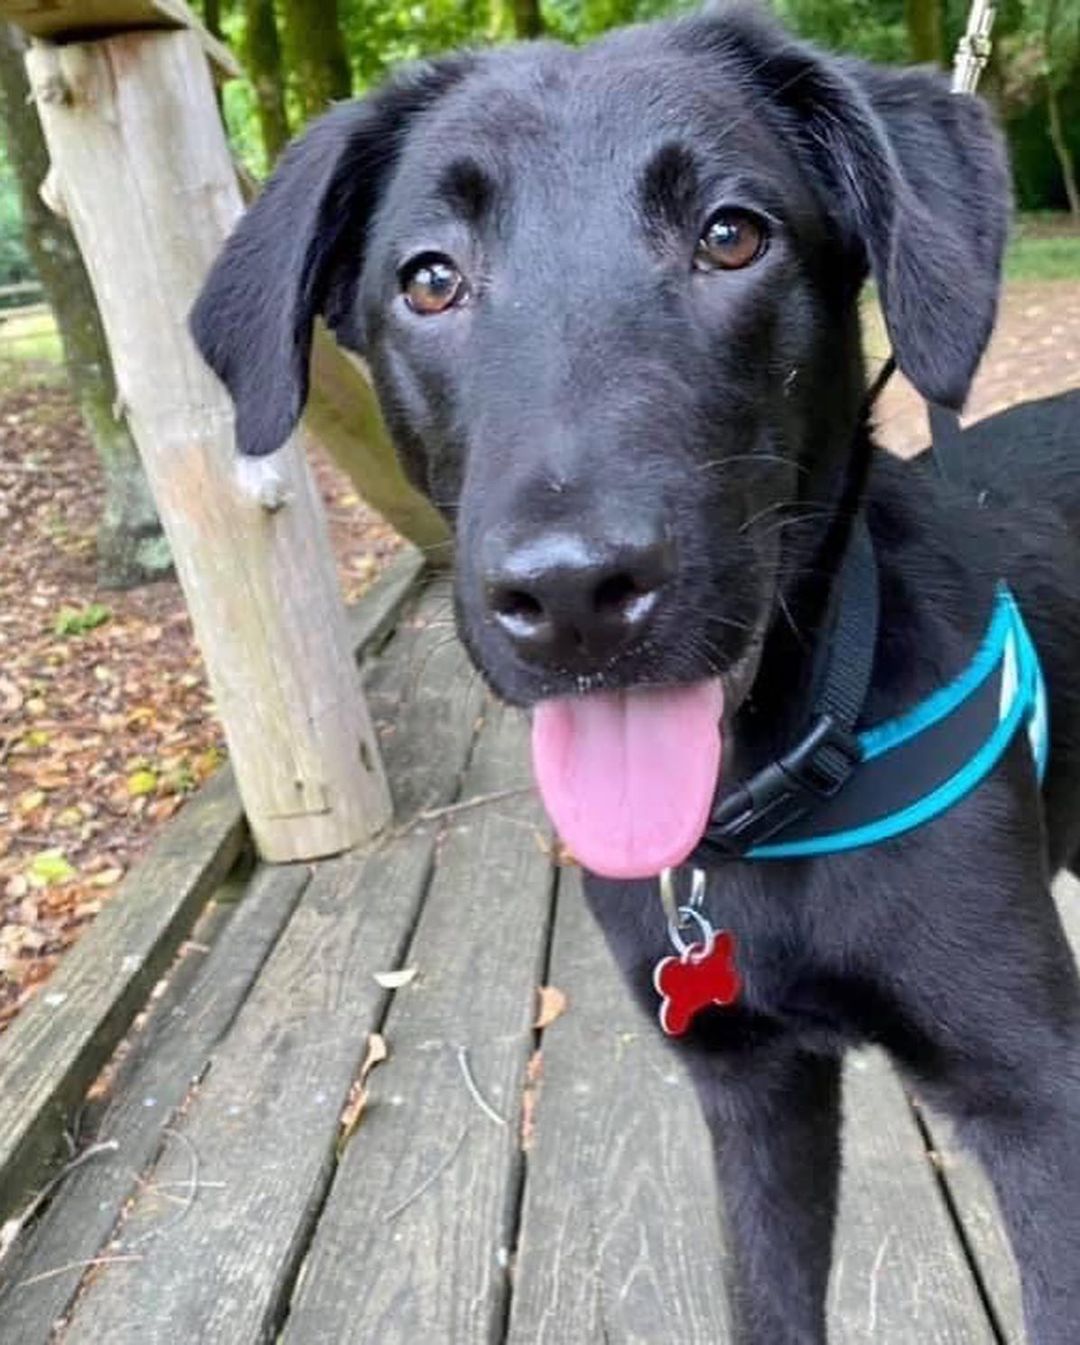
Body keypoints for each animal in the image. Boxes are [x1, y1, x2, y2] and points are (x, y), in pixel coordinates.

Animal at [189, 7, 1080, 1334]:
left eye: (732, 234)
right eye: (429, 278)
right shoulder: (755, 1095)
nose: (573, 599)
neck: (764, 812)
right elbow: (769, 1301)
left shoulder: (1036, 1102)